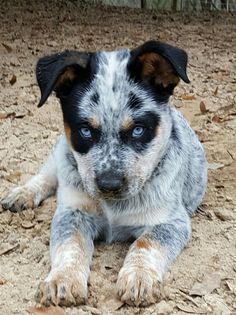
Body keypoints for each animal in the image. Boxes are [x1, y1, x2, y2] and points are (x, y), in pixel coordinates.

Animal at [0, 40, 207, 308]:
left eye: (138, 130)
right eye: (86, 131)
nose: (109, 184)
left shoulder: (170, 220)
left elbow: (146, 243)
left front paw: (139, 277)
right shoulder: (73, 211)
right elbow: (71, 244)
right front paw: (62, 279)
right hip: (60, 153)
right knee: (46, 175)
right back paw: (22, 194)